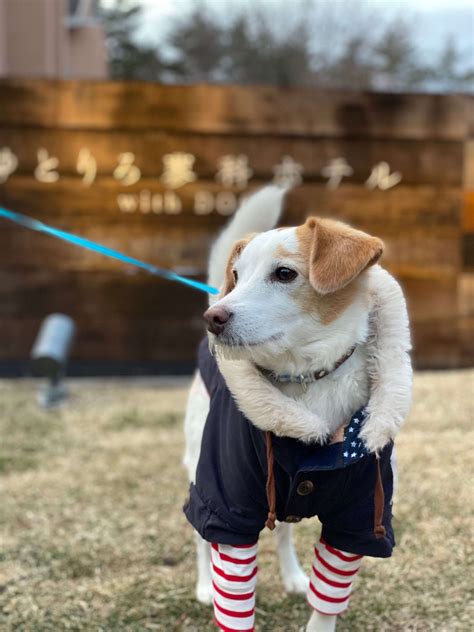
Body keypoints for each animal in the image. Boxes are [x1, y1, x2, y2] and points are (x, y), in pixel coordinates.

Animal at [181, 185, 412, 628]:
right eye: (237, 275)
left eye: (285, 274)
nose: (211, 317)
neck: (305, 381)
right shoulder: (229, 505)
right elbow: (233, 596)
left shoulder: (359, 519)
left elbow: (327, 601)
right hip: (199, 458)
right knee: (201, 534)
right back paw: (202, 585)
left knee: (284, 530)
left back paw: (292, 577)